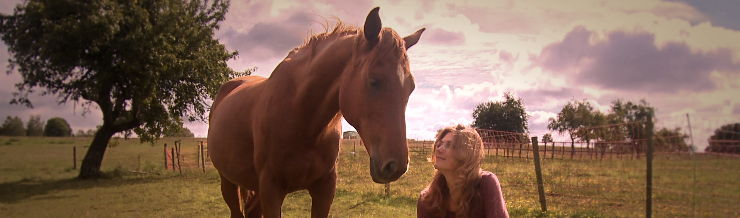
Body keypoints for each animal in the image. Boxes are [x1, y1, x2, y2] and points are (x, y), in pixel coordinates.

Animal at [208, 7, 424, 217]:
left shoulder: (325, 189)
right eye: (374, 80)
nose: (396, 166)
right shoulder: (271, 190)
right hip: (228, 182)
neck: (301, 119)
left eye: (411, 87)